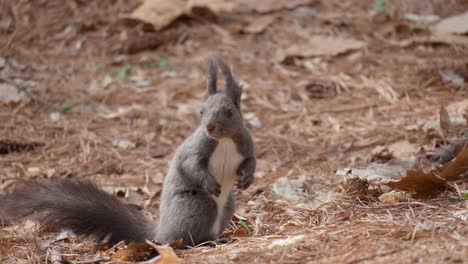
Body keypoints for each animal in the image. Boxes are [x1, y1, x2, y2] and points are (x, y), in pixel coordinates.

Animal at [0, 57, 256, 248]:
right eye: (201, 111)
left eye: (229, 111)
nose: (209, 128)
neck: (223, 140)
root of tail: (159, 233)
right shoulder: (197, 147)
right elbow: (190, 165)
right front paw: (211, 183)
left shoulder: (245, 144)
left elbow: (250, 161)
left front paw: (247, 179)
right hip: (197, 205)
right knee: (184, 237)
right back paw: (201, 243)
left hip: (227, 206)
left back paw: (219, 239)